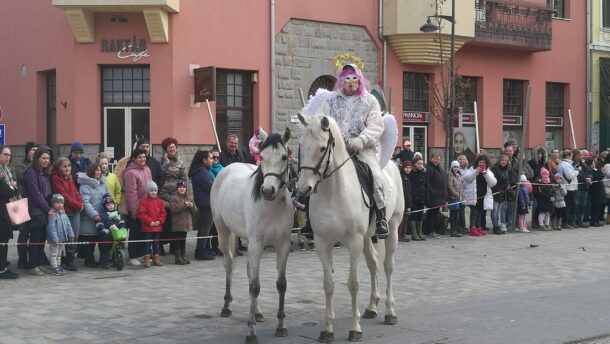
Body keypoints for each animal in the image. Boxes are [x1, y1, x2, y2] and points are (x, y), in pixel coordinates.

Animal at [210, 129, 294, 344]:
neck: (271, 207)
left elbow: (281, 284)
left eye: (284, 156)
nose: (267, 190)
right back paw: (226, 307)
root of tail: (227, 168)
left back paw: (257, 312)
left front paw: (281, 326)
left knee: (249, 270)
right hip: (223, 231)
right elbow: (254, 287)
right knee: (229, 264)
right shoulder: (257, 244)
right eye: (262, 157)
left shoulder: (282, 245)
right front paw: (251, 332)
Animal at [296, 114, 404, 342]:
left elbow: (353, 283)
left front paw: (355, 329)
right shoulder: (323, 242)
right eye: (301, 145)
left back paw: (390, 312)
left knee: (388, 266)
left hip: (392, 228)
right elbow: (328, 284)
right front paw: (327, 329)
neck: (333, 193)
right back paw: (372, 307)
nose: (303, 188)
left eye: (322, 148)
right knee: (373, 264)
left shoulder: (353, 242)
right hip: (366, 238)